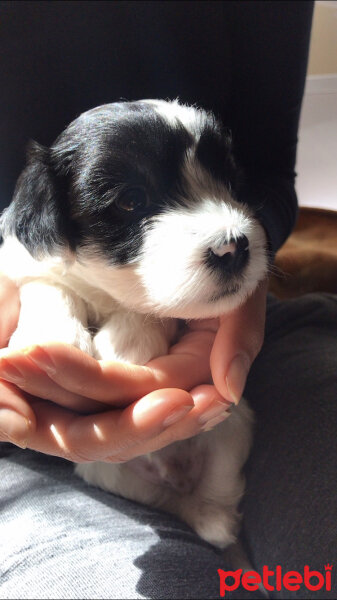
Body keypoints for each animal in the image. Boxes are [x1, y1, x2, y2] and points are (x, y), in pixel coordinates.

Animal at [0, 98, 268, 548]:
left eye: (230, 182)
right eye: (130, 201)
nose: (234, 247)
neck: (106, 291)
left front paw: (126, 343)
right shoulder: (25, 261)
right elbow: (48, 285)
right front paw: (53, 335)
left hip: (232, 428)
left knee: (215, 493)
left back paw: (215, 521)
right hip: (108, 471)